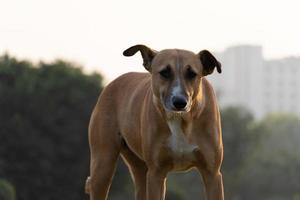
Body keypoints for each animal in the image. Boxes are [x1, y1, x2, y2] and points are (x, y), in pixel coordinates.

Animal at [85, 44, 224, 199]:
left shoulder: (212, 174)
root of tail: (110, 84)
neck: (180, 119)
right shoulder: (156, 174)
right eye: (164, 72)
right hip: (103, 165)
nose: (180, 102)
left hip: (139, 170)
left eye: (192, 74)